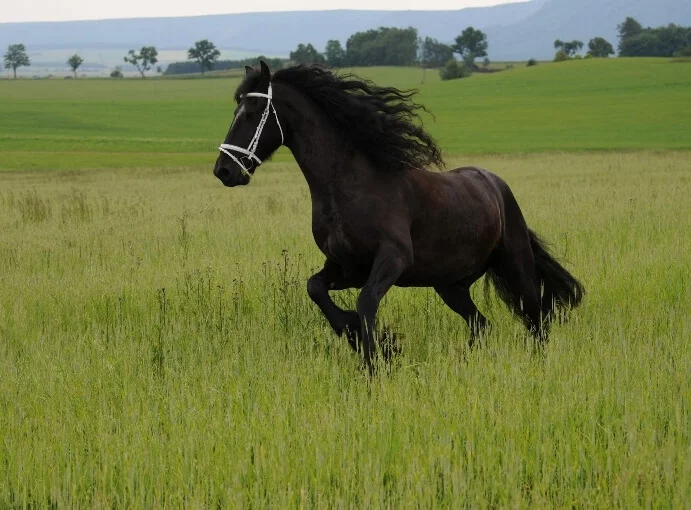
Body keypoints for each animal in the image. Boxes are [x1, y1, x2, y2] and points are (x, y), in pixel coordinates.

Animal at [212, 60, 584, 370]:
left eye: (252, 111)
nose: (224, 171)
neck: (351, 186)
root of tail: (496, 185)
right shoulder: (346, 266)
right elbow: (314, 288)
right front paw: (358, 337)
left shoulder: (392, 258)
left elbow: (365, 303)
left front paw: (376, 359)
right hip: (450, 285)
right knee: (481, 324)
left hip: (515, 267)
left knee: (535, 321)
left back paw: (537, 367)